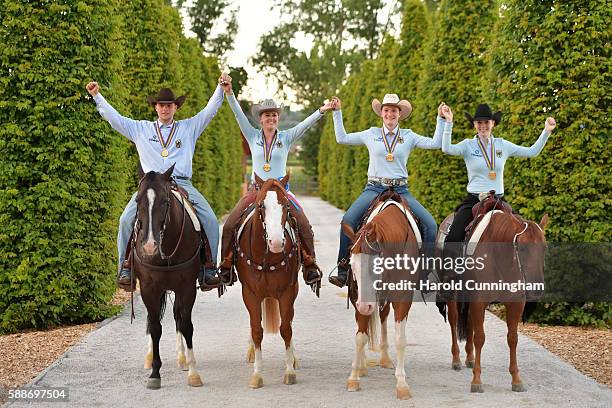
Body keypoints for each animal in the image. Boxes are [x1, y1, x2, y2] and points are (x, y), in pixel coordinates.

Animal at [131, 165, 203, 388]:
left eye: (165, 201)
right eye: (137, 201)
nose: (149, 246)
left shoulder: (187, 287)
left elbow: (186, 325)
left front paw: (194, 373)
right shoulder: (149, 288)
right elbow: (155, 327)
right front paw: (155, 372)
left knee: (178, 316)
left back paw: (183, 358)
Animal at [234, 174, 302, 388]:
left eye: (286, 205)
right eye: (261, 206)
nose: (277, 242)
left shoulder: (288, 291)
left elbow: (286, 329)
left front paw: (289, 370)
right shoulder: (250, 293)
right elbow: (257, 330)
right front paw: (257, 374)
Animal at [342, 191, 424, 398]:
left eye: (376, 265)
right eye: (352, 264)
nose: (365, 306)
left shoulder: (403, 297)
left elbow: (400, 340)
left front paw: (401, 384)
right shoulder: (359, 296)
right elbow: (360, 337)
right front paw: (354, 377)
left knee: (384, 316)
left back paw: (385, 358)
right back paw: (362, 365)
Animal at [438, 210, 548, 392]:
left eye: (545, 248)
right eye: (522, 248)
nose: (536, 288)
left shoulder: (515, 304)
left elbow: (512, 338)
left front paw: (516, 379)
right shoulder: (479, 302)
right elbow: (480, 338)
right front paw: (476, 381)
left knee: (469, 322)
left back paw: (470, 358)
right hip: (452, 294)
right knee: (454, 321)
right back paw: (457, 359)